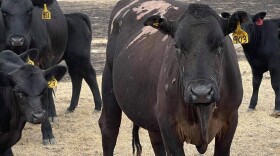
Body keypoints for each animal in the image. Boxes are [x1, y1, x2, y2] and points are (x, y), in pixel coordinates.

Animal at [99, 0, 244, 155]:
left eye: (220, 44)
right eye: (177, 46)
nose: (201, 93)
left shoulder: (230, 122)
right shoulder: (169, 127)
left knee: (155, 140)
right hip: (108, 83)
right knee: (109, 128)